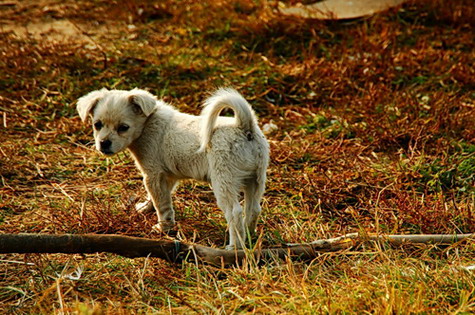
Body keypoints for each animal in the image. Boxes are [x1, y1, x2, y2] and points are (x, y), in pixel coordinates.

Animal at [76, 87, 270, 251]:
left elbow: (162, 204)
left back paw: (234, 246)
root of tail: (244, 126)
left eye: (123, 128)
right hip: (256, 179)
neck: (148, 123)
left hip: (224, 181)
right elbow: (156, 198)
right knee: (254, 209)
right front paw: (145, 208)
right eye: (97, 124)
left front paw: (163, 227)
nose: (104, 144)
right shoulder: (167, 177)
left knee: (235, 213)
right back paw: (249, 236)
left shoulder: (153, 175)